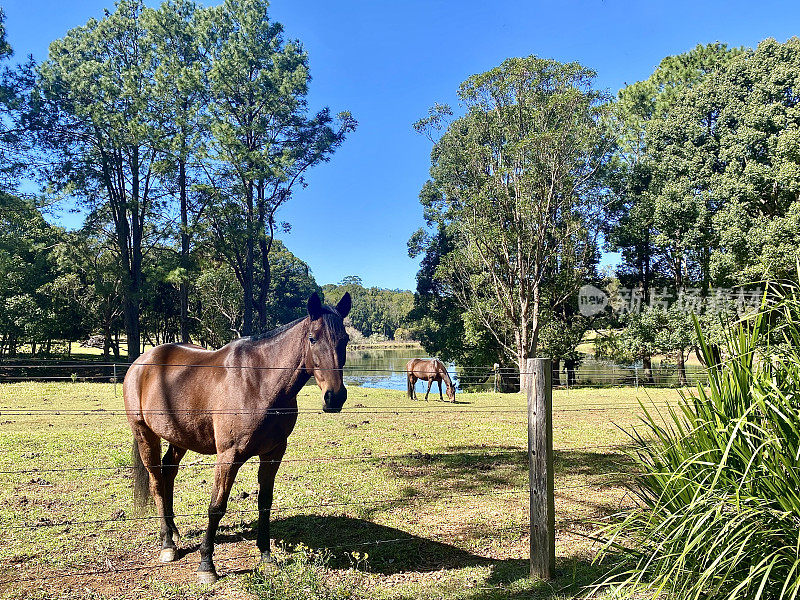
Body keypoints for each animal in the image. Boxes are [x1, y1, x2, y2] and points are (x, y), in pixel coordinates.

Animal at [122, 292, 350, 584]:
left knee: (167, 473)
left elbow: (265, 503)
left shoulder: (273, 454)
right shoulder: (229, 456)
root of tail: (142, 361)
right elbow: (216, 507)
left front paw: (266, 557)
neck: (259, 381)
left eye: (345, 339)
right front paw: (206, 565)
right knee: (156, 483)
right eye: (312, 338)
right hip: (144, 433)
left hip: (179, 437)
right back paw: (167, 544)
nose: (335, 397)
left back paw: (174, 532)